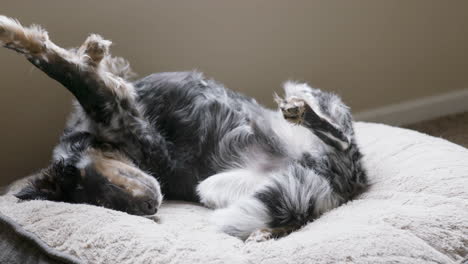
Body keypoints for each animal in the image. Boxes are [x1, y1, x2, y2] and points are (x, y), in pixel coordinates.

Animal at [0, 16, 368, 241]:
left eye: (98, 184)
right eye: (100, 204)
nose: (149, 208)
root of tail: (342, 182)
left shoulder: (117, 100)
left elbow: (69, 68)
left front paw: (87, 49)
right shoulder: (124, 113)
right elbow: (63, 69)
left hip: (300, 92)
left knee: (335, 133)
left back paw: (301, 113)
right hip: (217, 187)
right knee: (336, 150)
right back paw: (265, 230)